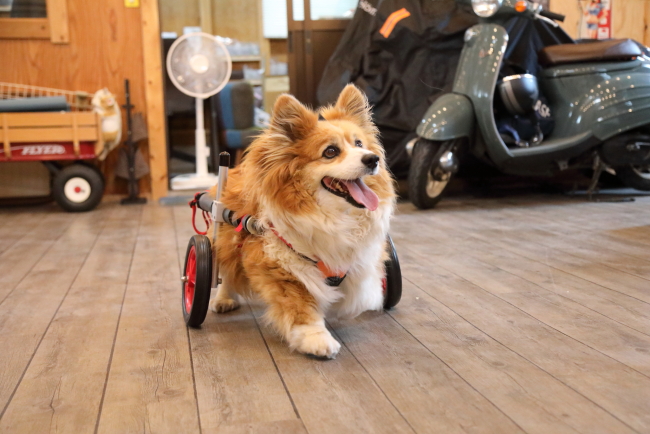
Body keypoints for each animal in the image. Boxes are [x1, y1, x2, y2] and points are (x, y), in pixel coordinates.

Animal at [208, 85, 394, 360]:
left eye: (359, 144)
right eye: (330, 152)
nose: (372, 159)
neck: (335, 218)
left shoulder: (361, 258)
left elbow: (360, 294)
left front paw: (349, 304)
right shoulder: (280, 265)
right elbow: (301, 306)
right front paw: (316, 339)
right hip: (225, 238)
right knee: (225, 269)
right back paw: (223, 299)